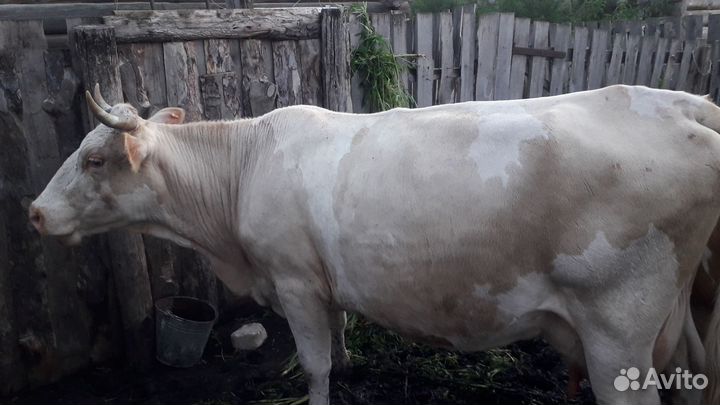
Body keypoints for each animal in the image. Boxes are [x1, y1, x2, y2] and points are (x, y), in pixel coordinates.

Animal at [30, 84, 720, 405]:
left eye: (94, 160)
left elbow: (313, 364)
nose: (35, 213)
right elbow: (337, 341)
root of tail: (680, 102)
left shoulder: (294, 282)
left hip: (616, 332)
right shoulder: (321, 281)